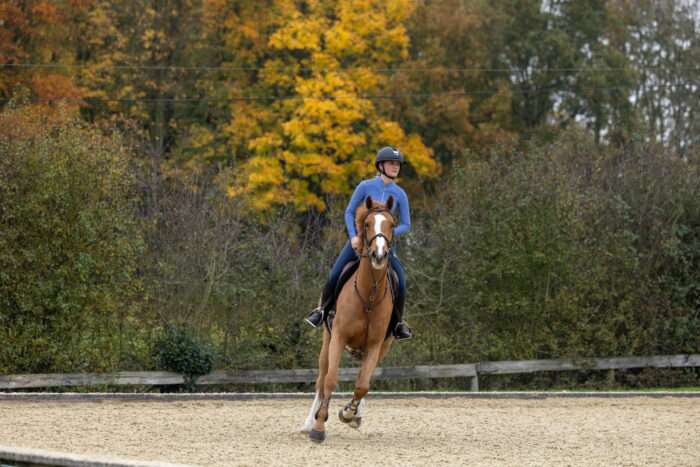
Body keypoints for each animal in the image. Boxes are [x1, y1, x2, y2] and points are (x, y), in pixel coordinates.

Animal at [302, 196, 400, 444]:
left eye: (392, 225)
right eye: (366, 224)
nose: (379, 255)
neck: (369, 295)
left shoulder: (376, 345)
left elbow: (362, 385)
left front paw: (348, 413)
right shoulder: (338, 337)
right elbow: (330, 380)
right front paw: (319, 427)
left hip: (381, 347)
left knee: (362, 379)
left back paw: (355, 416)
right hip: (326, 342)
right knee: (321, 380)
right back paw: (309, 423)